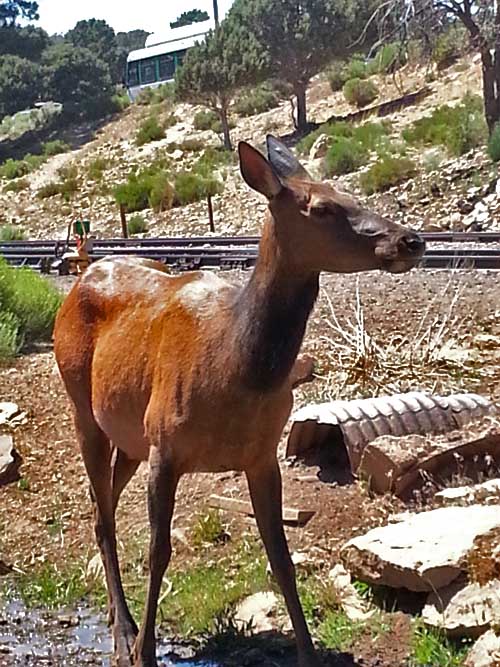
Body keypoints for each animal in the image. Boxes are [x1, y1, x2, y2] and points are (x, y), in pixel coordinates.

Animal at [53, 136, 425, 667]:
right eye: (321, 207)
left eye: (350, 193)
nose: (411, 240)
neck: (235, 372)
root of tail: (82, 278)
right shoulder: (165, 446)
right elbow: (160, 551)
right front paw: (146, 650)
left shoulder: (262, 453)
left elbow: (281, 556)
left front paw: (308, 653)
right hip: (82, 404)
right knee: (102, 512)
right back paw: (124, 632)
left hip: (129, 435)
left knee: (101, 501)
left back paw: (115, 617)